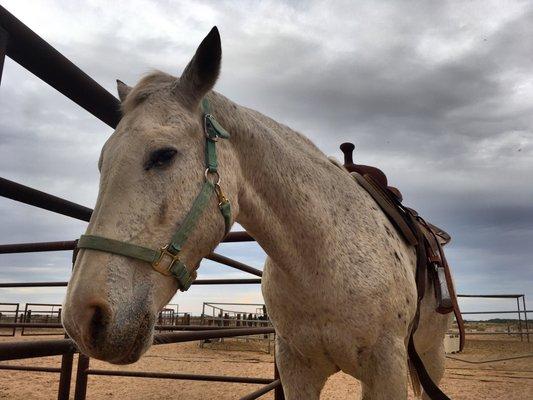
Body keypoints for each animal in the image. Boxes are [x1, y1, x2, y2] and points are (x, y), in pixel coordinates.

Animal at [64, 28, 450, 400]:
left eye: (163, 155)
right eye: (102, 163)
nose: (83, 318)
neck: (325, 262)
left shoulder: (387, 370)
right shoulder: (296, 369)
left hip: (431, 356)